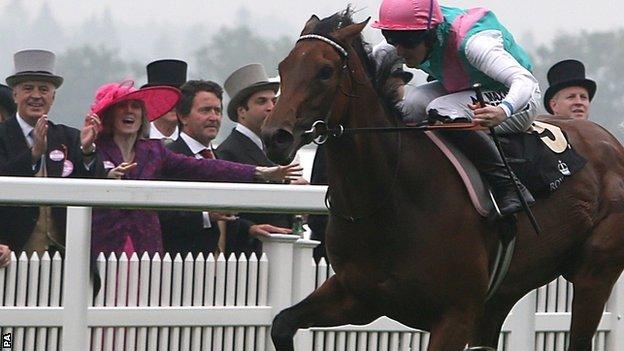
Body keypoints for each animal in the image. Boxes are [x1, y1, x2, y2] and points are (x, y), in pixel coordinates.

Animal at [260, 8, 624, 351]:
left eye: (325, 71)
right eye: (283, 67)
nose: (274, 137)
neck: (390, 198)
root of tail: (612, 142)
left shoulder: (455, 316)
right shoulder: (357, 296)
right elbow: (281, 323)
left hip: (594, 274)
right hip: (502, 295)